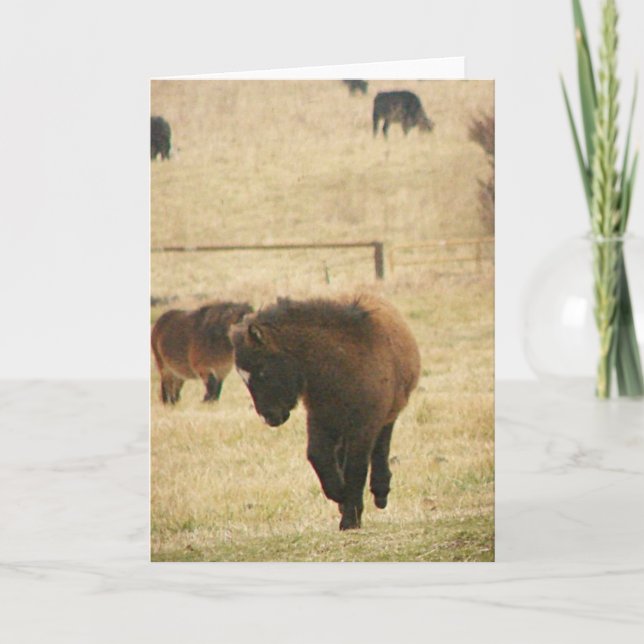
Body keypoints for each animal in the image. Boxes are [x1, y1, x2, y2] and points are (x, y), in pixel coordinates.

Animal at [230, 294, 420, 530]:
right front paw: (339, 494)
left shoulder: (364, 425)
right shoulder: (321, 419)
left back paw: (380, 492)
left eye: (263, 371)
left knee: (380, 447)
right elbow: (318, 455)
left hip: (383, 418)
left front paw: (350, 518)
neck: (340, 363)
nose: (269, 417)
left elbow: (356, 466)